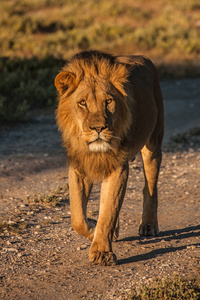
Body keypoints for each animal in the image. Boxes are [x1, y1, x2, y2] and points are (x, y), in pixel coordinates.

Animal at [54, 50, 164, 266]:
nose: (99, 128)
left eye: (108, 102)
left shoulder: (118, 168)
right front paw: (95, 229)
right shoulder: (78, 167)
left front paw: (102, 252)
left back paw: (149, 225)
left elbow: (108, 212)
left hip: (153, 145)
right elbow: (78, 218)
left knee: (150, 188)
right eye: (82, 103)